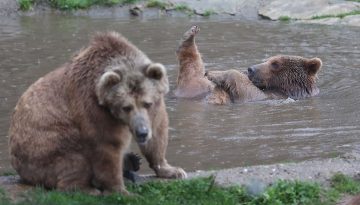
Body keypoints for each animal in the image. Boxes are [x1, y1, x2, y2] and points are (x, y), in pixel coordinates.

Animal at [9, 31, 186, 195]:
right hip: (44, 146)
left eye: (147, 103)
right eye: (126, 107)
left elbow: (157, 131)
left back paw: (131, 162)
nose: (141, 132)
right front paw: (121, 191)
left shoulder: (155, 107)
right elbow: (107, 145)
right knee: (73, 160)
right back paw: (87, 188)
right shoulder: (93, 107)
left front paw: (172, 170)